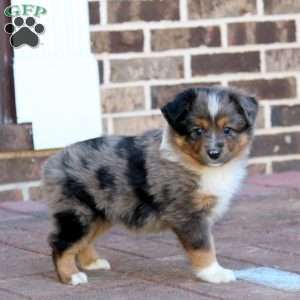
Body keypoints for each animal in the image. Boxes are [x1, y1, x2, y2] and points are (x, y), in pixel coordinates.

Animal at [42, 86, 258, 286]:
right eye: (197, 131)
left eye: (228, 130)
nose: (214, 153)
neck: (193, 163)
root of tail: (54, 161)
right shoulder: (188, 214)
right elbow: (203, 246)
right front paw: (214, 273)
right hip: (78, 213)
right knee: (61, 243)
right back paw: (71, 276)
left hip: (100, 213)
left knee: (84, 240)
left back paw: (92, 263)